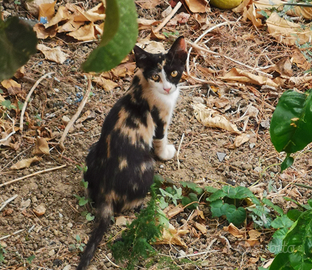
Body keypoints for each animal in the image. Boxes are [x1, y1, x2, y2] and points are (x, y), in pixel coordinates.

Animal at [76, 36, 186, 270]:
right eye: (156, 76)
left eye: (174, 73)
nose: (167, 89)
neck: (143, 84)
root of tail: (107, 193)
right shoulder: (159, 119)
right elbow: (161, 139)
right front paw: (167, 152)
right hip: (146, 166)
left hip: (92, 152)